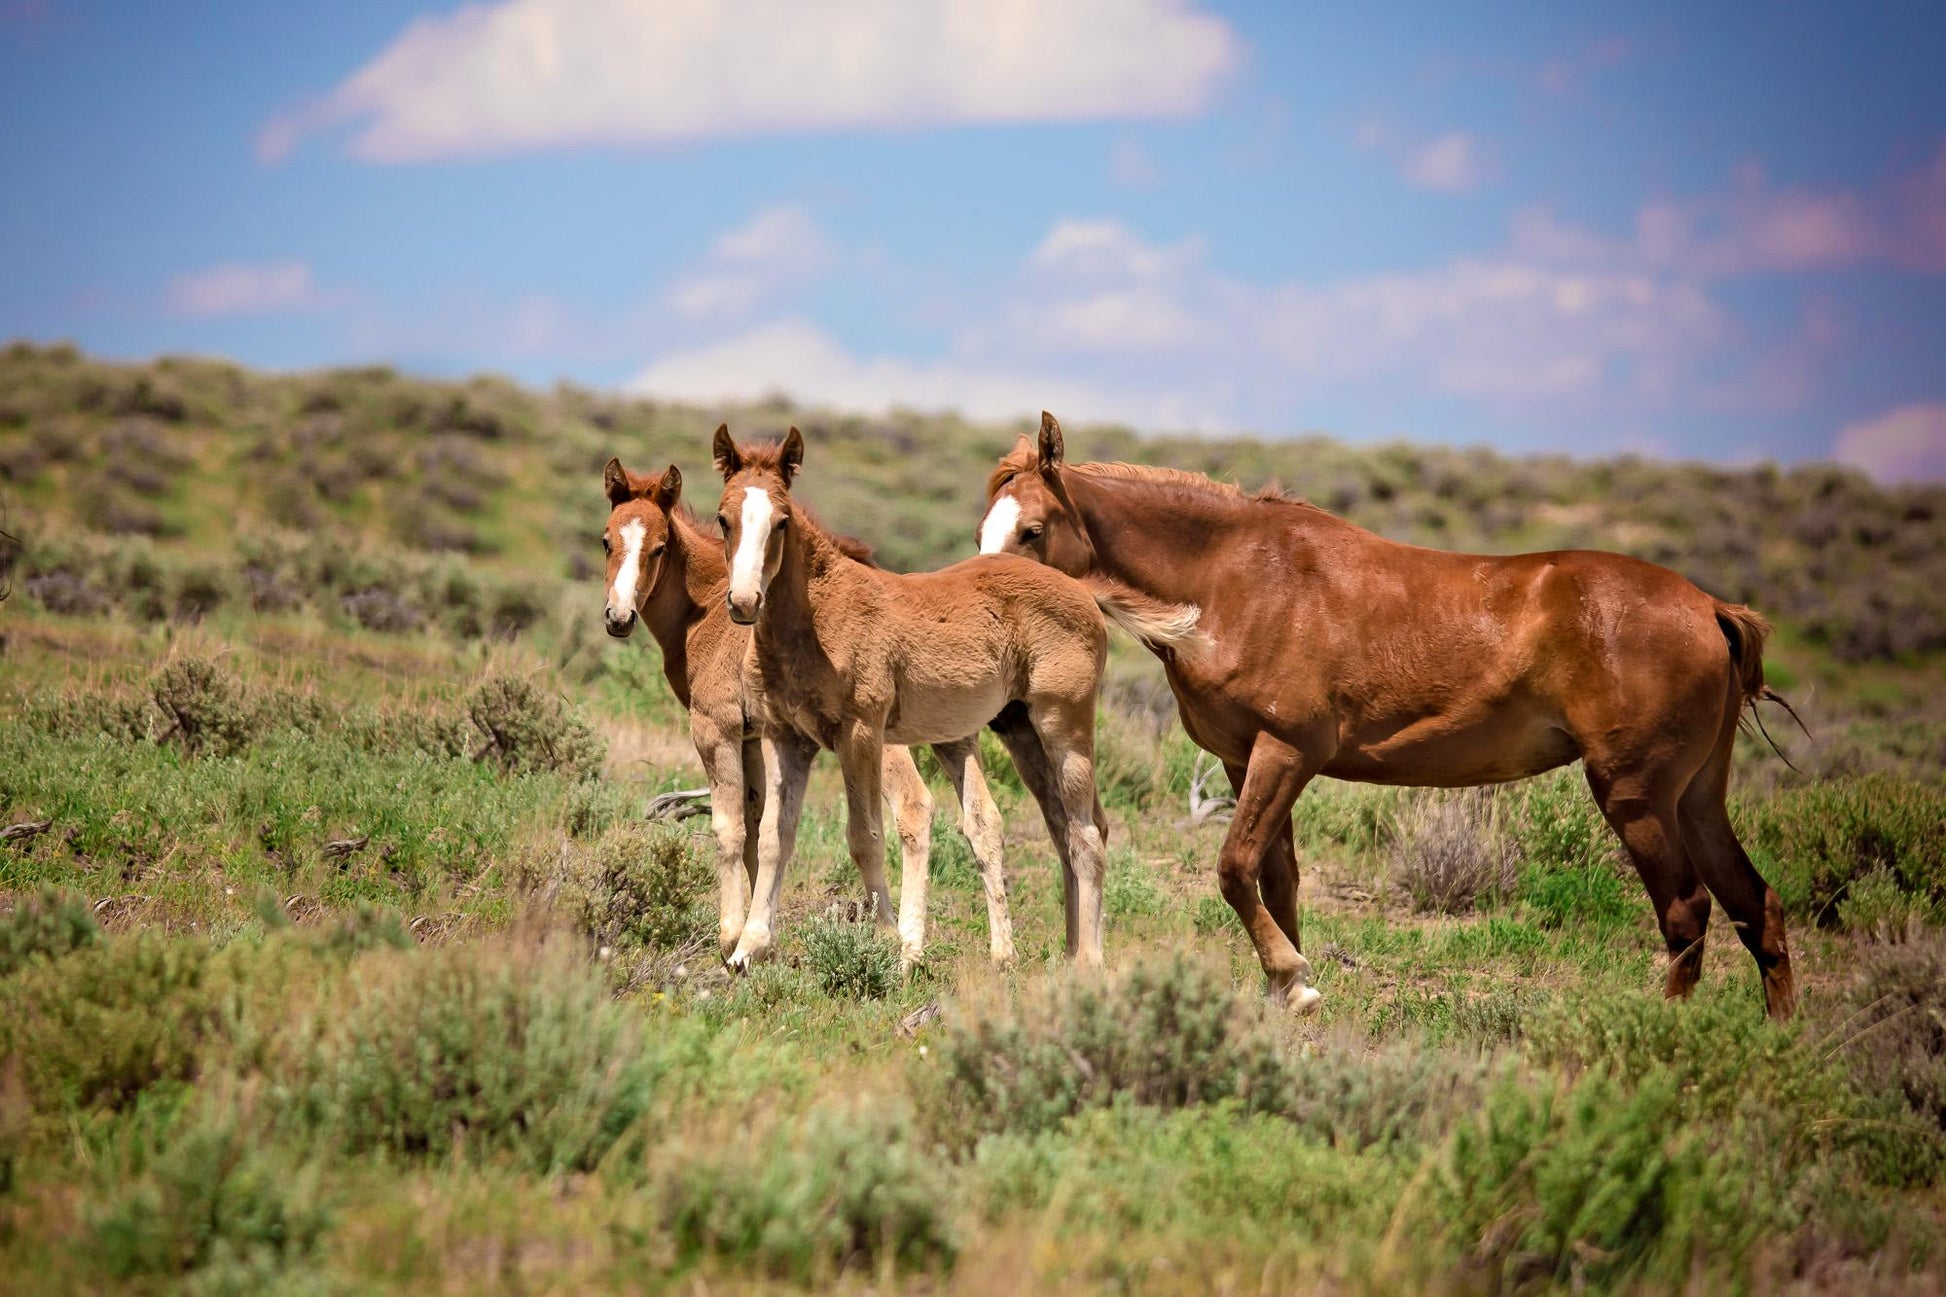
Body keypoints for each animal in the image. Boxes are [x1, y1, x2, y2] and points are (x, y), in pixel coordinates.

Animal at [980, 408, 1798, 1012]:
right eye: (985, 528)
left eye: (1032, 530)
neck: (1230, 580)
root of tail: (1710, 609)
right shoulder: (1248, 759)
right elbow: (1277, 878)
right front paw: (1289, 991)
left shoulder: (1289, 751)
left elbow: (1235, 868)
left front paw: (1292, 979)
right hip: (1695, 795)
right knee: (1755, 905)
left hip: (1636, 795)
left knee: (1687, 910)